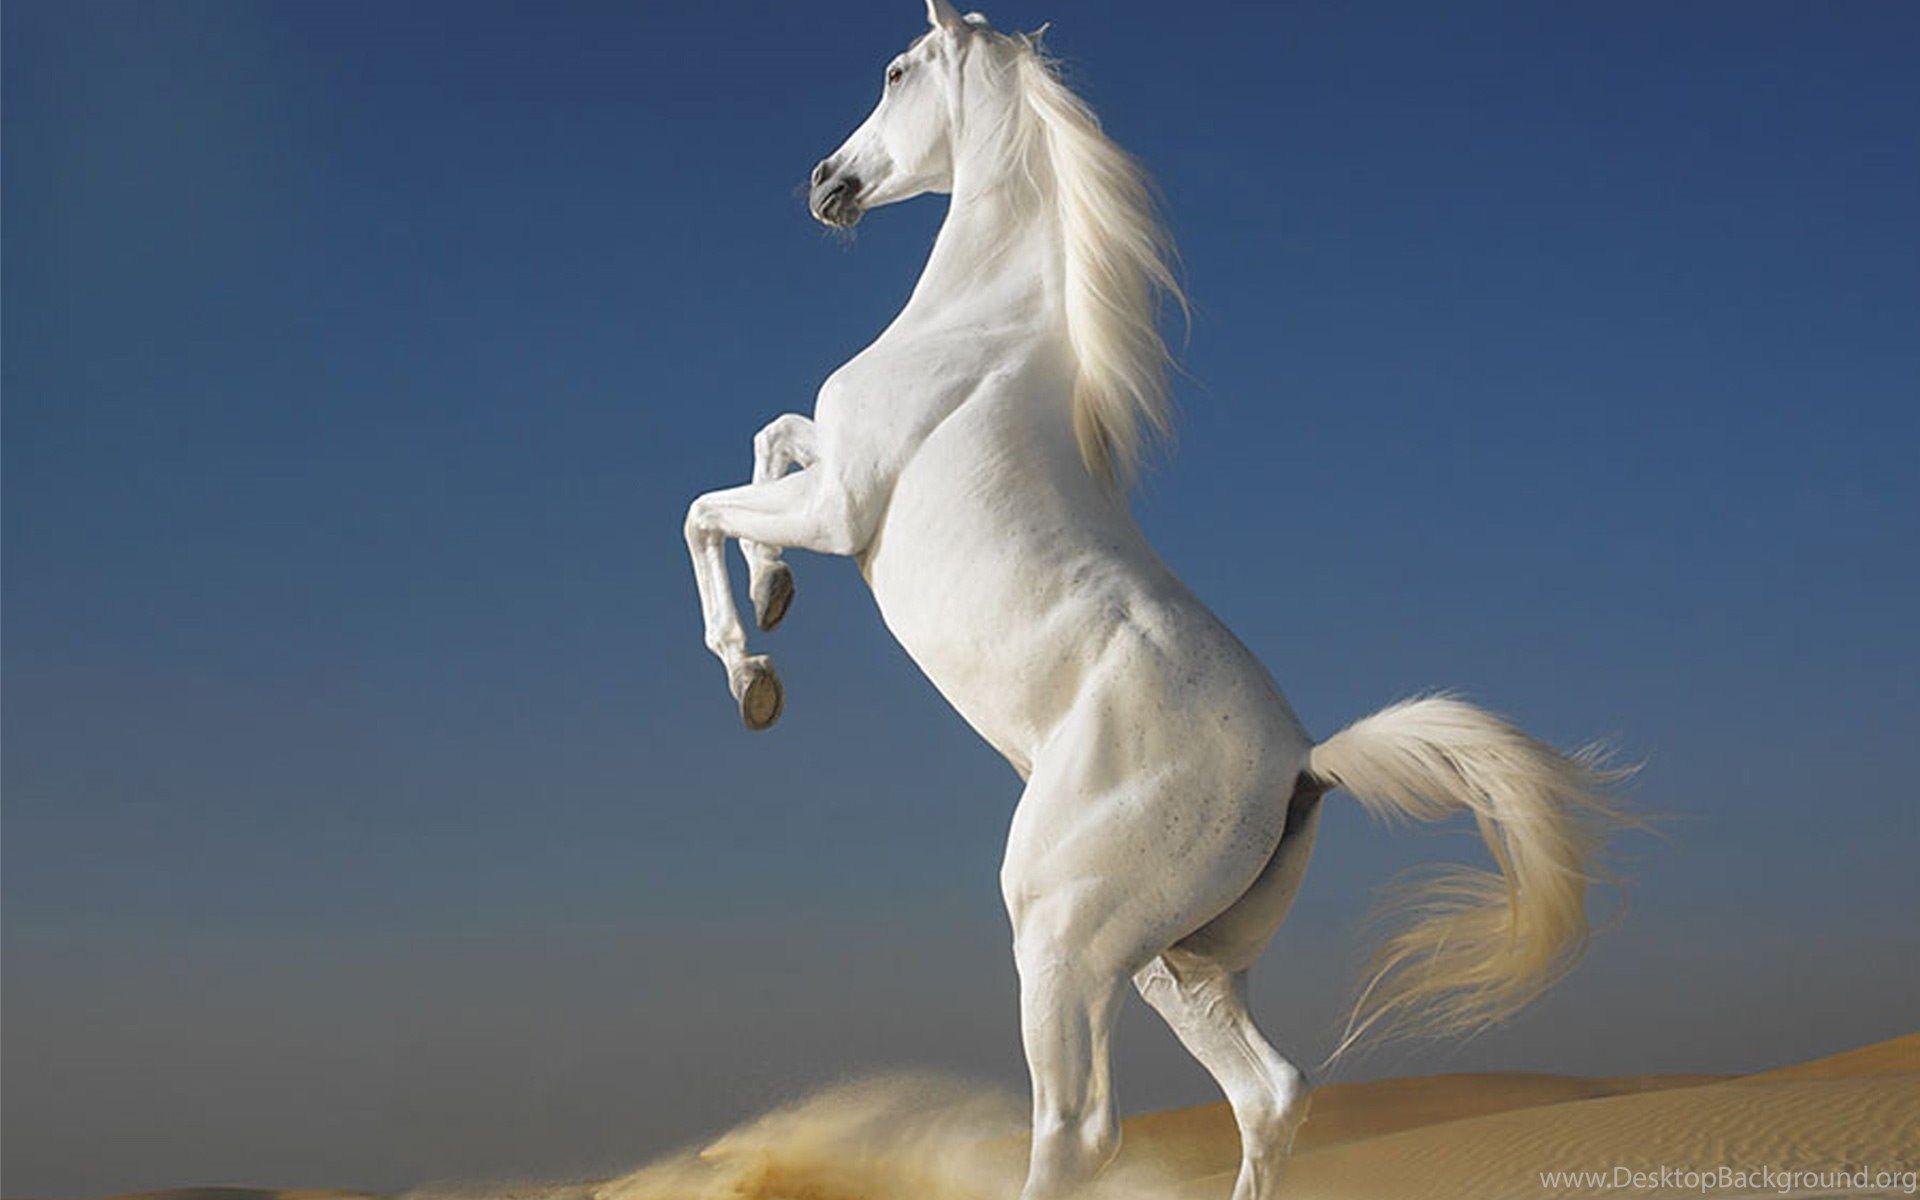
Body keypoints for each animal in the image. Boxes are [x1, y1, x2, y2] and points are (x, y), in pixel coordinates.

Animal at [681, 5, 1633, 1197]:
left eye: (896, 70)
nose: (827, 182)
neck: (976, 330)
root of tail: (1304, 767)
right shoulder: (827, 475)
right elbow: (769, 439)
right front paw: (775, 600)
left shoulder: (844, 504)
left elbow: (706, 508)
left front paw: (751, 673)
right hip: (1171, 964)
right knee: (1268, 1094)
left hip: (1061, 937)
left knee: (1081, 1128)